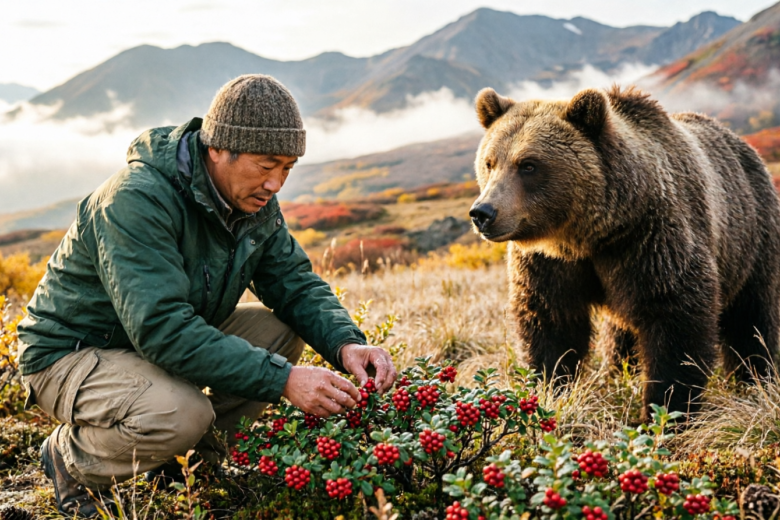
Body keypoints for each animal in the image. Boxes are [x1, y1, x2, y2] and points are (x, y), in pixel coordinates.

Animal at [469, 85, 780, 419]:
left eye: (528, 164)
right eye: (489, 162)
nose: (483, 212)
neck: (590, 235)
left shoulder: (651, 242)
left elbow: (676, 323)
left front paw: (665, 410)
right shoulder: (550, 263)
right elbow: (550, 321)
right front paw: (551, 386)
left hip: (751, 236)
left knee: (752, 319)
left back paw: (756, 378)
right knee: (620, 334)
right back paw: (617, 370)